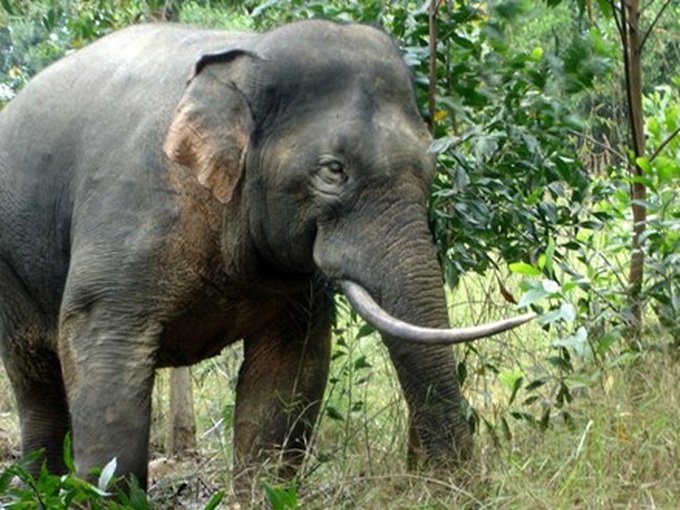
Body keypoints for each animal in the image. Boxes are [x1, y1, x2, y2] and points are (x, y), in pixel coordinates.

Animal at [0, 19, 533, 494]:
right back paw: (39, 488)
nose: (457, 488)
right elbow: (105, 360)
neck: (245, 57)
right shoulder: (129, 213)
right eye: (333, 170)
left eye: (431, 165)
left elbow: (288, 377)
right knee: (38, 384)